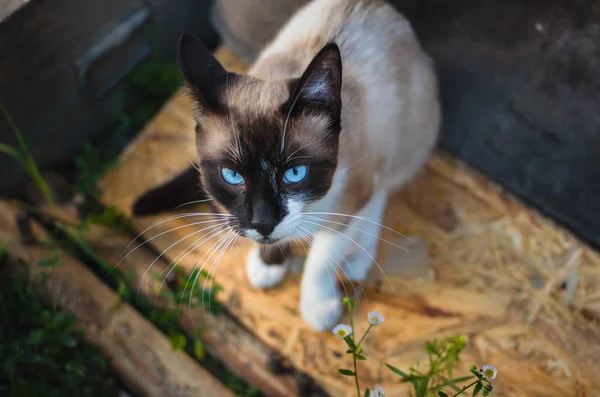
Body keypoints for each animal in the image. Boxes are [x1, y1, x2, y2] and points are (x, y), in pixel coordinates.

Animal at [132, 0, 440, 330]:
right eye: (232, 175)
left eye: (294, 173)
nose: (263, 221)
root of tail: (386, 9)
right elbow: (278, 241)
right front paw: (268, 265)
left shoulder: (348, 203)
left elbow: (321, 261)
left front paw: (318, 308)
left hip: (401, 144)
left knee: (378, 198)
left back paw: (357, 261)